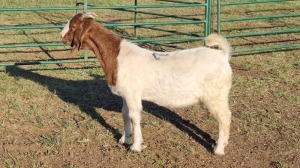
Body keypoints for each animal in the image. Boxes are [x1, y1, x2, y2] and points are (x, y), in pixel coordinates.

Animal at [61, 12, 233, 156]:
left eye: (74, 26)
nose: (61, 35)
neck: (117, 56)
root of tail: (222, 55)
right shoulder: (126, 94)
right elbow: (125, 114)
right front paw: (125, 139)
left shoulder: (133, 94)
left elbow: (135, 116)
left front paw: (135, 146)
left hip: (215, 96)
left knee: (225, 117)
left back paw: (219, 149)